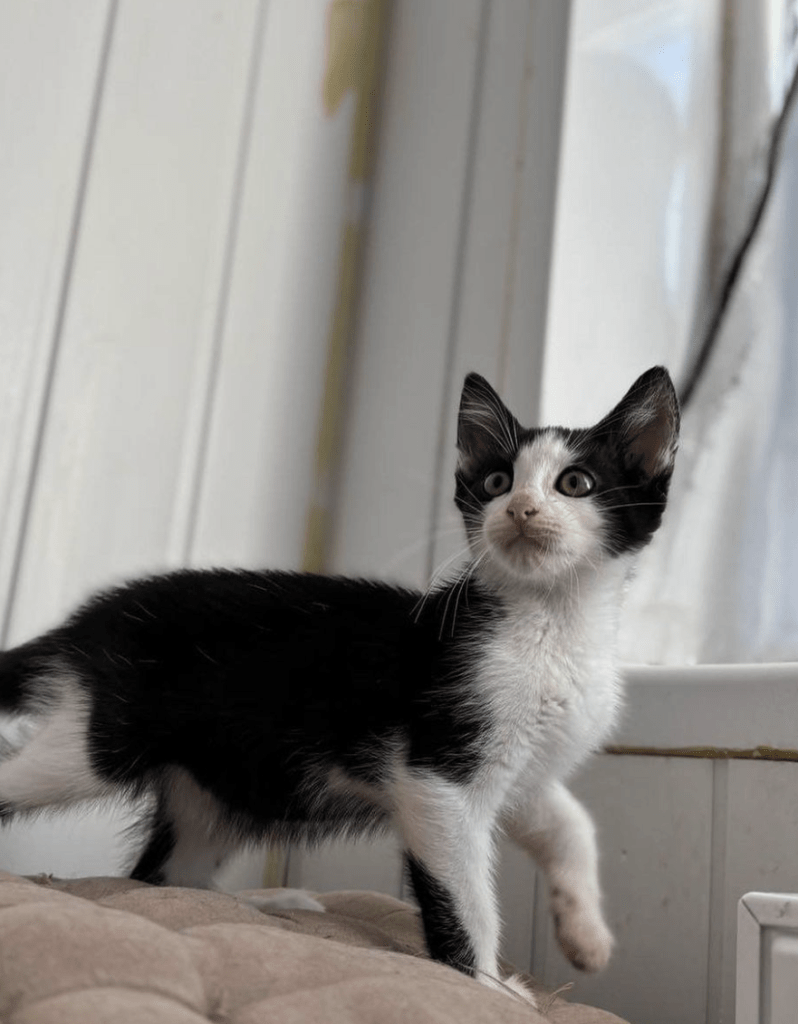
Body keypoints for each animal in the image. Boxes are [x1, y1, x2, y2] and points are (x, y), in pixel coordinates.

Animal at [0, 366, 680, 999]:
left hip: (210, 789)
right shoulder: (437, 773)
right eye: (496, 483)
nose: (520, 510)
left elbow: (570, 822)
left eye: (575, 483)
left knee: (161, 874)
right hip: (94, 741)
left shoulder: (528, 763)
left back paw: (264, 903)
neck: (553, 622)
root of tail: (91, 620)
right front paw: (486, 985)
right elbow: (464, 895)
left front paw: (586, 936)